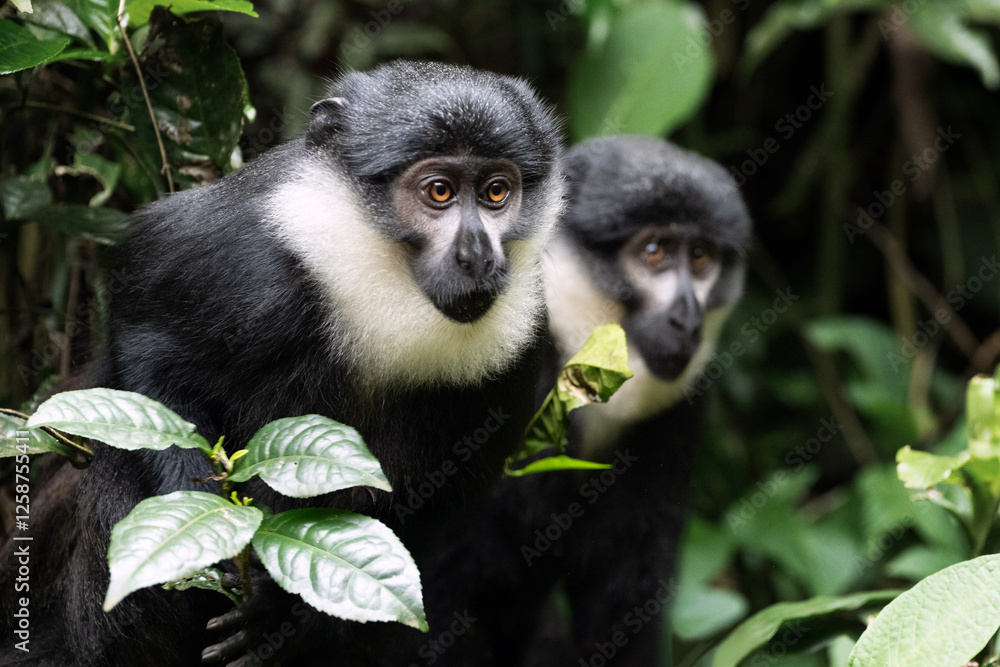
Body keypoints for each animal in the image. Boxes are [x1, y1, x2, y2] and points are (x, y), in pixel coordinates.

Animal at [0, 61, 563, 667]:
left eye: (496, 191)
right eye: (439, 191)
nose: (478, 256)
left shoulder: (519, 357)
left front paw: (285, 611)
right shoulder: (246, 256)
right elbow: (146, 339)